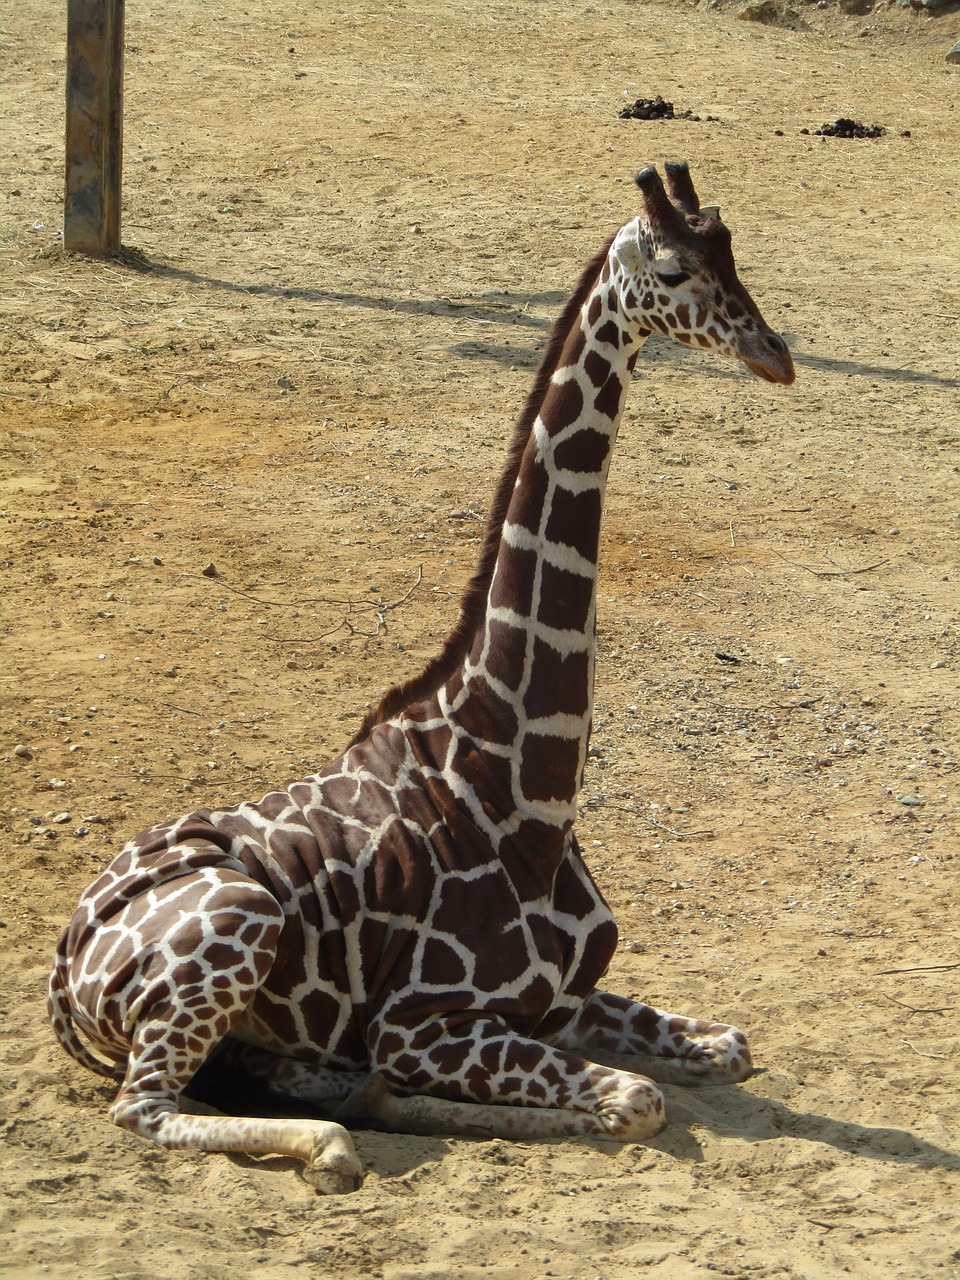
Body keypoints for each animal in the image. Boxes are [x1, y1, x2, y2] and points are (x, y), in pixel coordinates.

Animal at [47, 165, 798, 1192]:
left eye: (734, 251)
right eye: (678, 268)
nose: (777, 353)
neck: (523, 787)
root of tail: (63, 964)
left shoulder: (560, 998)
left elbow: (730, 1047)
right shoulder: (422, 1020)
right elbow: (637, 1100)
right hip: (240, 917)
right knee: (147, 1107)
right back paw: (329, 1144)